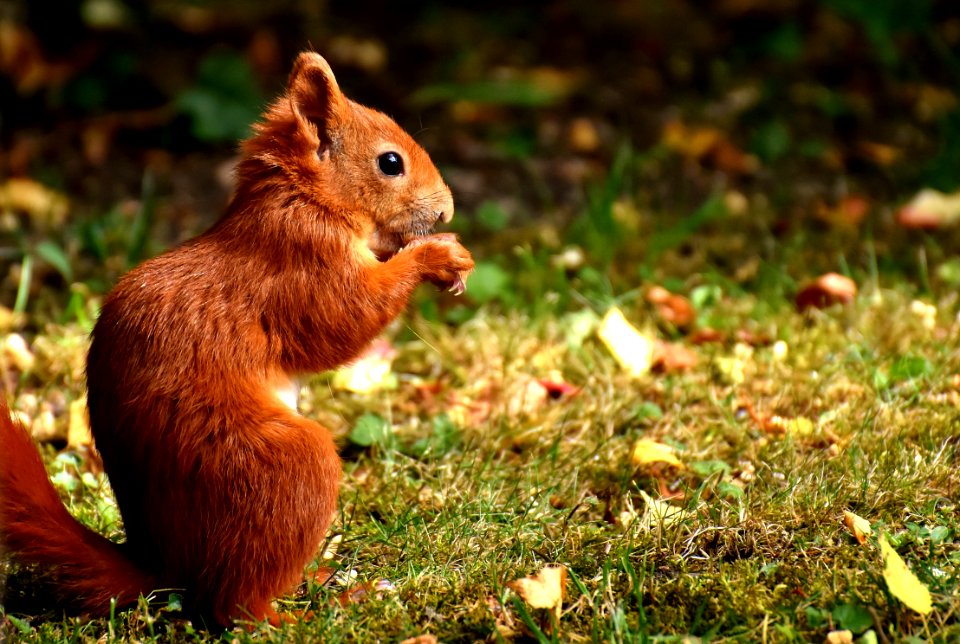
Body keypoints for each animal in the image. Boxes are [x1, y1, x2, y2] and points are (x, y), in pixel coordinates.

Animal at [0, 52, 474, 628]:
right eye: (390, 163)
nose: (448, 211)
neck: (303, 200)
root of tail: (168, 570)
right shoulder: (303, 265)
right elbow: (346, 320)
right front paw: (437, 256)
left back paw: (317, 581)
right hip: (276, 467)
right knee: (235, 608)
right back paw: (306, 613)